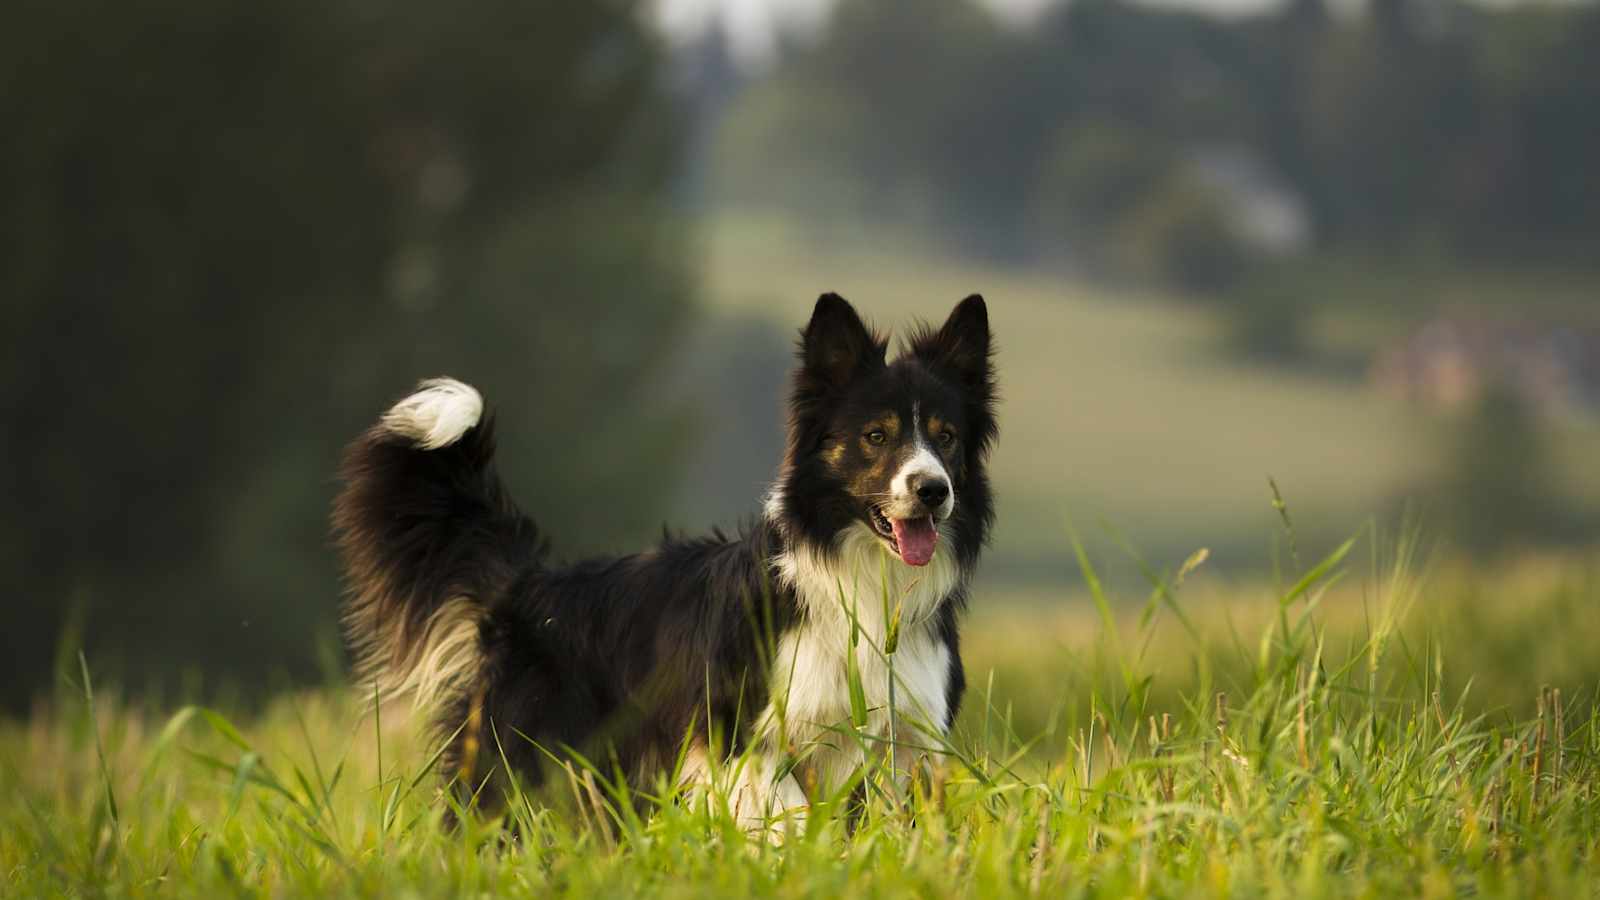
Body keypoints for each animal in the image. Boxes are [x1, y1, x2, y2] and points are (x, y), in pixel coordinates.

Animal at [331, 294, 992, 826]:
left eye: (947, 437)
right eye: (876, 436)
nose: (933, 490)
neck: (865, 584)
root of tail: (527, 585)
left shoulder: (908, 744)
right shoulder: (746, 742)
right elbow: (790, 827)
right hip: (515, 762)